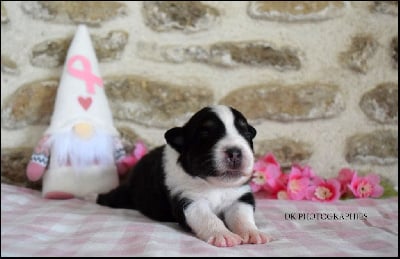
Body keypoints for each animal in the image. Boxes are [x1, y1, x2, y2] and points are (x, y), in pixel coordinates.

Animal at [98, 105, 270, 248]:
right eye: (205, 134)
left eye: (246, 133)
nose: (235, 152)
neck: (215, 184)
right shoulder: (189, 199)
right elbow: (207, 217)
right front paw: (223, 234)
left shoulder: (240, 196)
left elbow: (242, 216)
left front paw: (253, 233)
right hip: (125, 193)